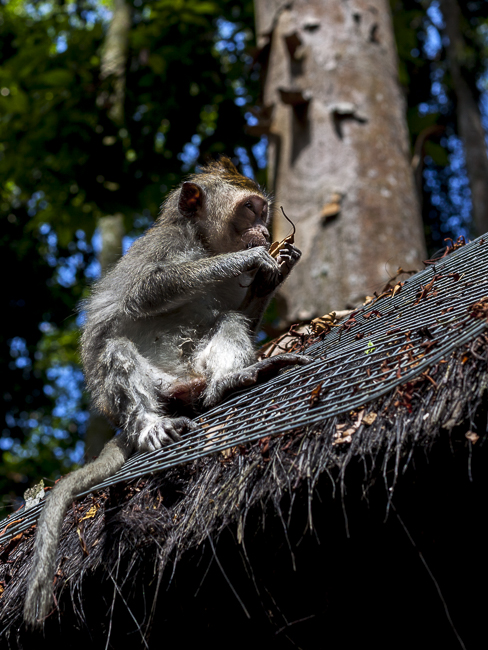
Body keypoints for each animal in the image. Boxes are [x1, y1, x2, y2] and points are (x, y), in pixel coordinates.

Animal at [24, 156, 311, 626]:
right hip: (151, 388)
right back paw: (149, 426)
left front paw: (278, 268)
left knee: (228, 324)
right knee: (117, 348)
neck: (203, 244)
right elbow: (145, 290)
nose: (264, 230)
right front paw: (250, 257)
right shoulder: (162, 245)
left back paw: (228, 382)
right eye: (249, 210)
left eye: (262, 211)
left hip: (194, 376)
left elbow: (241, 315)